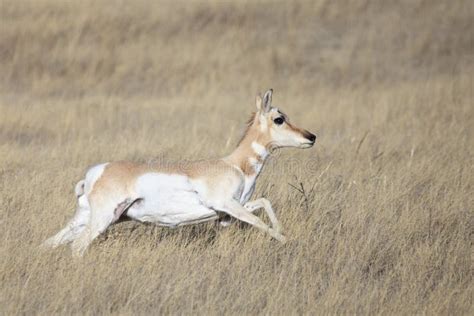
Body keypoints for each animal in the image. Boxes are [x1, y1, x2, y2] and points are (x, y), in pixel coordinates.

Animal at [42, 89, 316, 256]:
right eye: (279, 118)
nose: (311, 136)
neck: (234, 164)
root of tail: (96, 172)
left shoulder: (228, 213)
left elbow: (264, 203)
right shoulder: (227, 204)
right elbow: (260, 222)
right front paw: (289, 241)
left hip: (85, 219)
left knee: (49, 243)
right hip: (102, 219)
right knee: (77, 246)